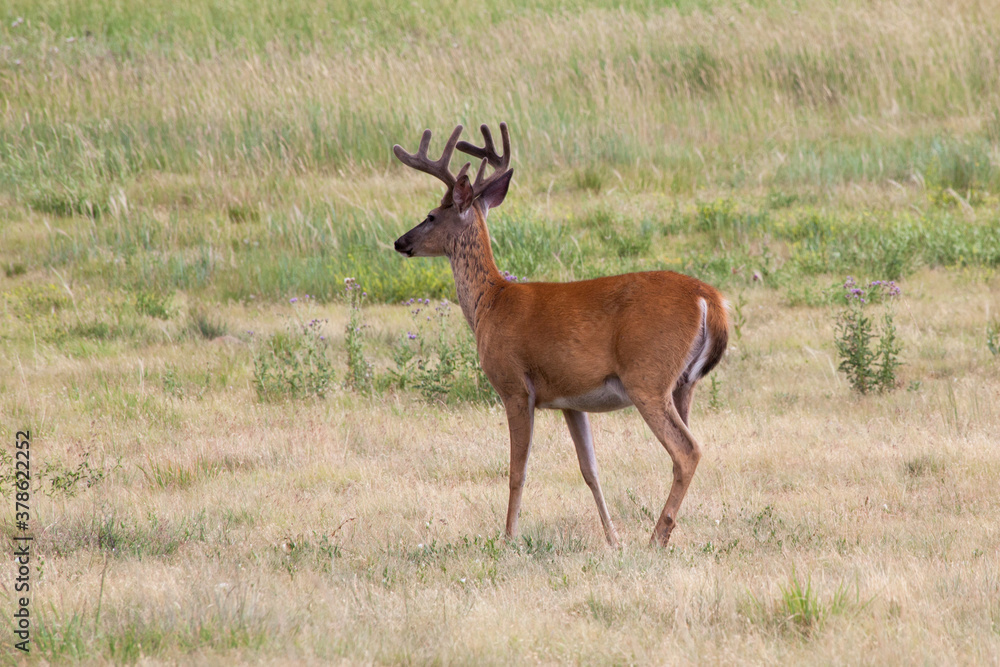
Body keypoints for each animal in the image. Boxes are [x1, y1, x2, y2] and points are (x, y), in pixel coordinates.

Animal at [392, 123, 729, 547]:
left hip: (647, 377)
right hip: (684, 383)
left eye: (431, 215)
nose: (400, 242)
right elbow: (590, 470)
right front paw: (612, 539)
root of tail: (710, 298)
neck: (491, 303)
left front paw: (509, 537)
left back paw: (657, 537)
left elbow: (517, 470)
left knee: (688, 450)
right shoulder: (572, 399)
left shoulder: (515, 386)